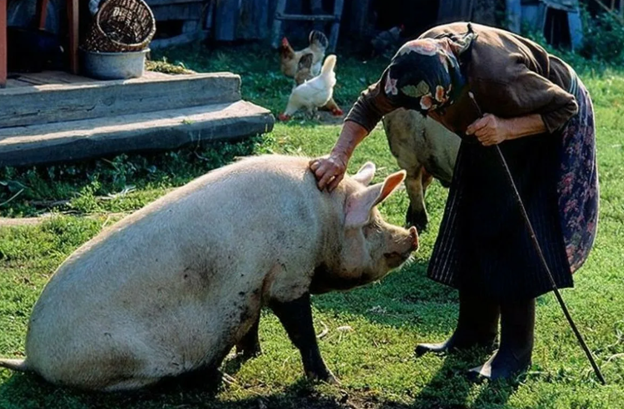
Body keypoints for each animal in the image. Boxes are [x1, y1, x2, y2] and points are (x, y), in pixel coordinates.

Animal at [1, 155, 420, 390]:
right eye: (371, 224)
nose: (412, 236)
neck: (323, 218)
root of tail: (31, 357)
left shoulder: (254, 284)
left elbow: (252, 321)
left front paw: (253, 353)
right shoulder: (289, 274)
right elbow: (302, 331)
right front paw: (330, 380)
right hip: (122, 363)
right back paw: (221, 379)